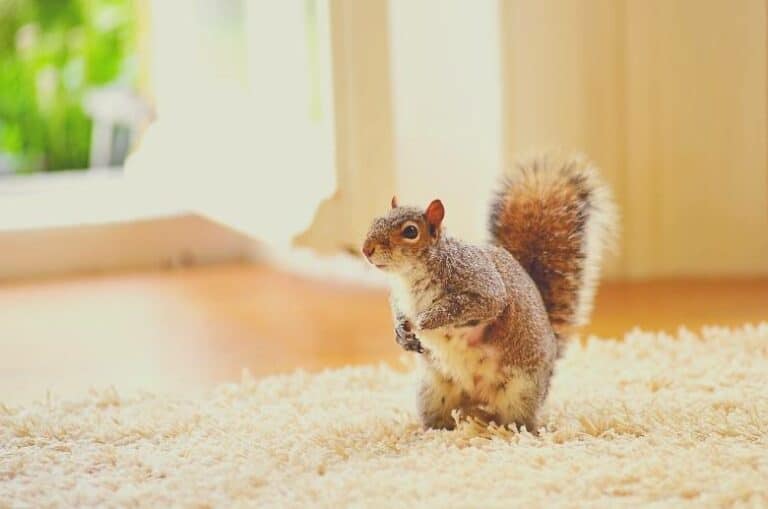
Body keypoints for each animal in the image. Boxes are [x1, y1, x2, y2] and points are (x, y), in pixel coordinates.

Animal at [361, 151, 617, 432]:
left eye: (410, 231)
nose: (366, 249)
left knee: (519, 420)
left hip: (521, 392)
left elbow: (472, 305)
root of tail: (477, 400)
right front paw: (401, 334)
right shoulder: (400, 299)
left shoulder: (481, 284)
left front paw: (425, 320)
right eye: (375, 220)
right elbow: (398, 314)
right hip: (431, 393)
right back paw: (430, 432)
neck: (409, 276)